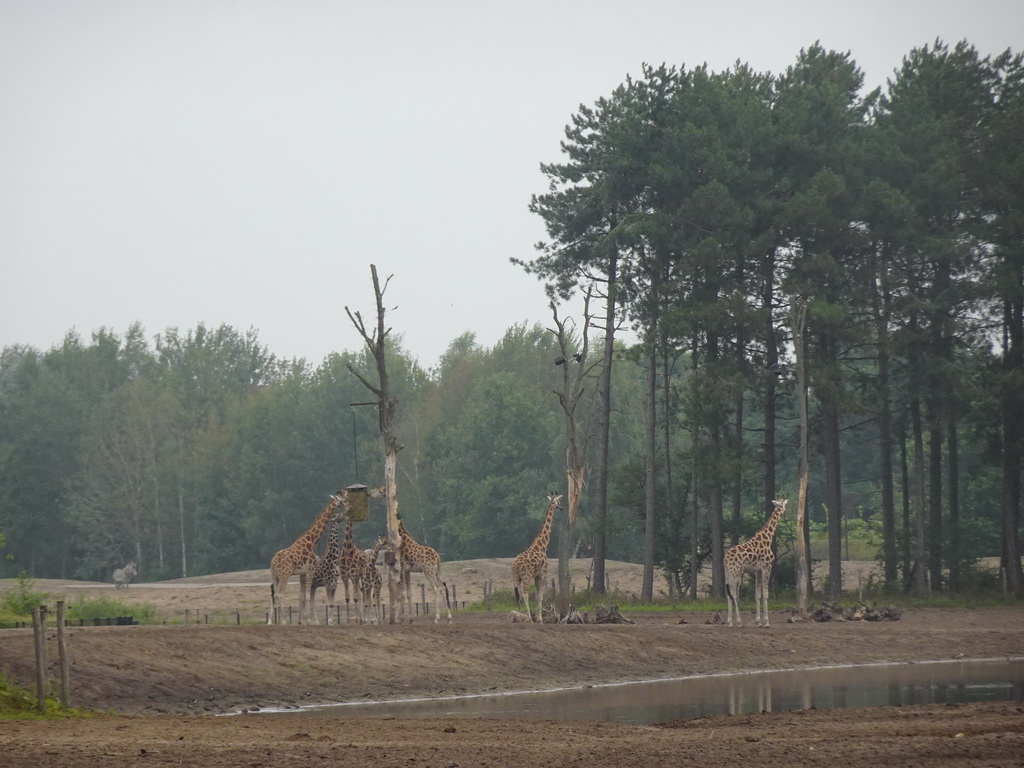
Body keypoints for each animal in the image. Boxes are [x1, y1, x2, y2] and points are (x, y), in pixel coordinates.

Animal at [268, 489, 348, 626]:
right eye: (342, 500)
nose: (349, 507)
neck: (311, 542)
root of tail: (273, 562)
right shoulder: (310, 570)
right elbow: (307, 596)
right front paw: (309, 620)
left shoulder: (303, 573)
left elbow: (303, 597)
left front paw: (304, 621)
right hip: (285, 574)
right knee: (280, 594)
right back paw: (283, 621)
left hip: (275, 576)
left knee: (275, 595)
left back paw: (270, 622)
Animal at [512, 493, 569, 626]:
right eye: (558, 501)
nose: (561, 508)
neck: (542, 545)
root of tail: (515, 566)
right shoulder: (543, 573)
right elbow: (540, 596)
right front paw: (539, 620)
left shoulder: (536, 575)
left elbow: (538, 596)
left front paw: (538, 618)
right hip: (526, 576)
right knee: (525, 594)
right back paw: (529, 618)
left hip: (516, 578)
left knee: (518, 595)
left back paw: (519, 614)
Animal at [724, 499, 786, 630]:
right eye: (783, 504)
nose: (784, 511)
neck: (768, 538)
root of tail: (725, 558)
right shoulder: (767, 566)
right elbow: (765, 594)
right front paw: (766, 622)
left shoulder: (758, 570)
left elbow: (757, 594)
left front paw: (758, 622)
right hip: (735, 572)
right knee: (733, 593)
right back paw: (737, 622)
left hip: (728, 572)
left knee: (728, 593)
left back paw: (730, 621)